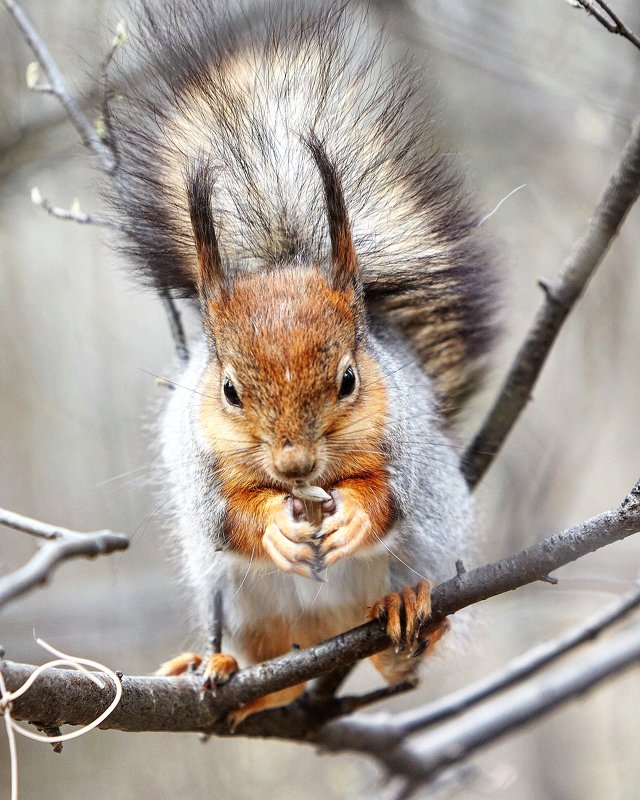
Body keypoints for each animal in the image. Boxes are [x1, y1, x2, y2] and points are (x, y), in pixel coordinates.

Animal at [105, 0, 498, 724]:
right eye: (229, 390)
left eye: (349, 379)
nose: (294, 466)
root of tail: (324, 633)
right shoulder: (196, 464)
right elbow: (225, 515)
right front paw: (271, 527)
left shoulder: (408, 444)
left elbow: (391, 493)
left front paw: (357, 513)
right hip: (243, 607)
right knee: (268, 665)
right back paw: (221, 666)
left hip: (428, 551)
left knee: (402, 649)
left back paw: (406, 620)